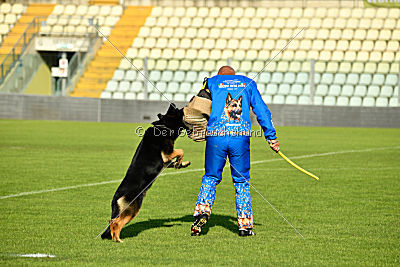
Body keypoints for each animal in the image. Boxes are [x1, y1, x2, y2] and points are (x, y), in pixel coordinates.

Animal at [102, 104, 191, 243]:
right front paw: (180, 161)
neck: (162, 126)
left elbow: (177, 160)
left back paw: (115, 238)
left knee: (112, 221)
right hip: (132, 209)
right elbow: (180, 151)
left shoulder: (166, 162)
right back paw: (119, 240)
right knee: (116, 222)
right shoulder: (167, 155)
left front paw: (182, 164)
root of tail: (116, 198)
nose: (173, 104)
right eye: (174, 111)